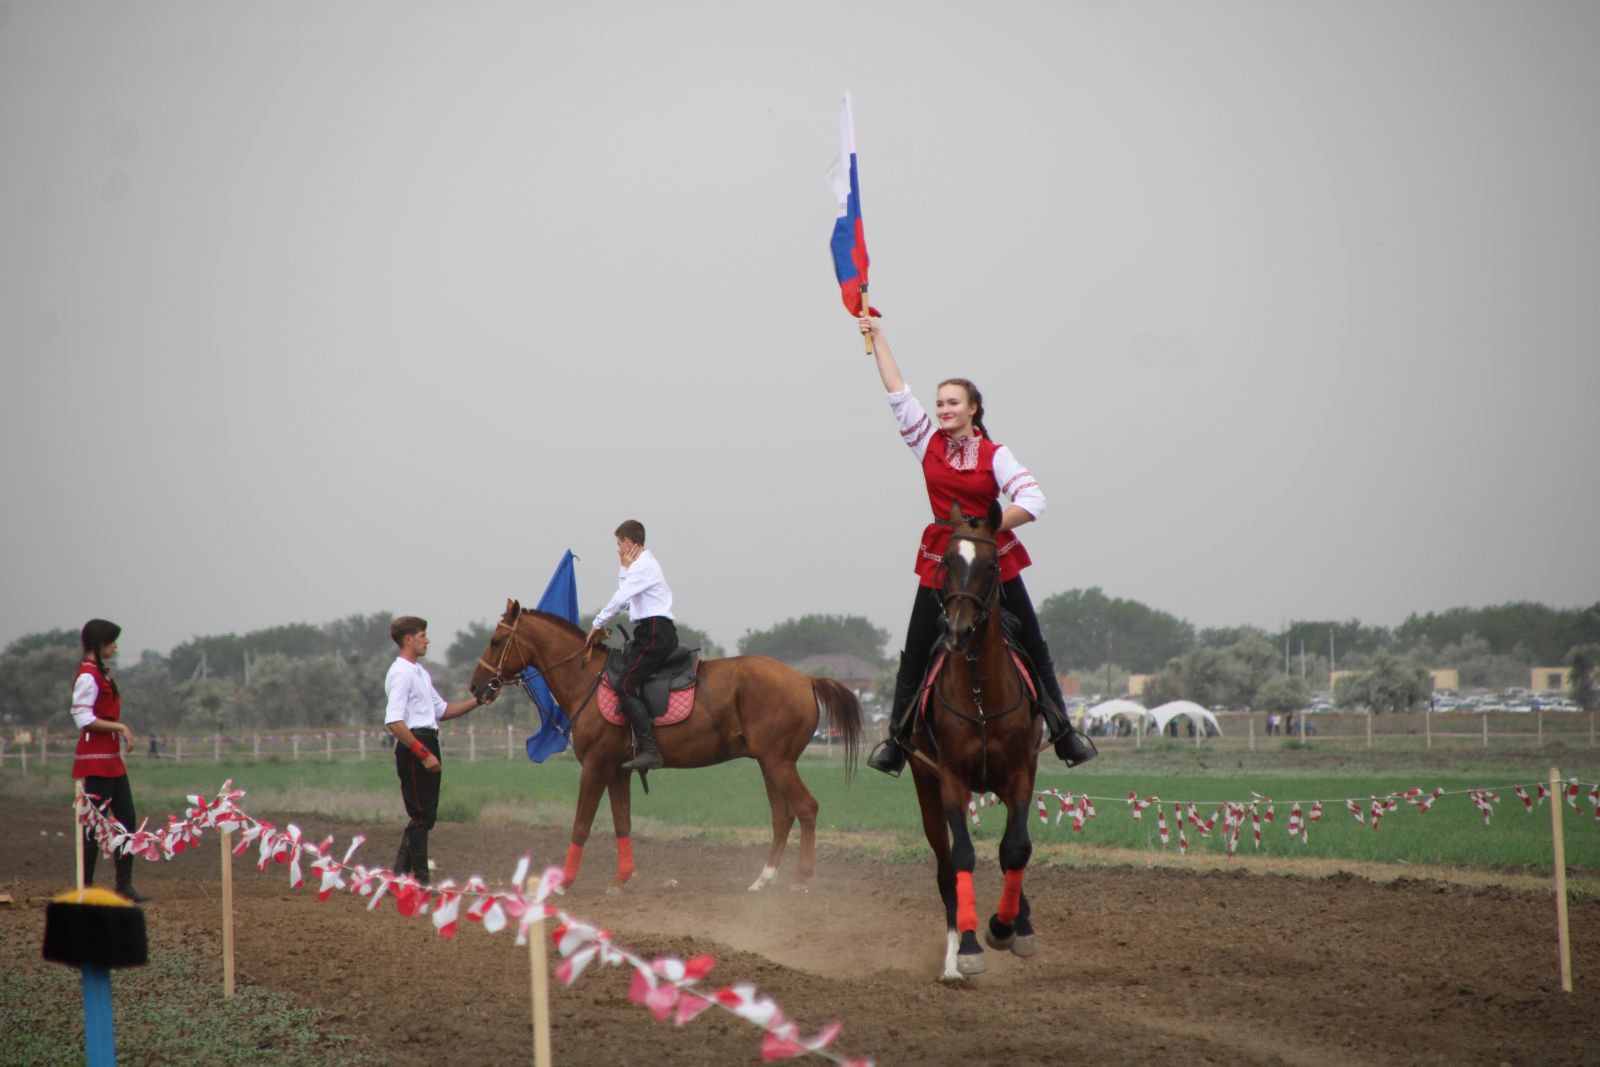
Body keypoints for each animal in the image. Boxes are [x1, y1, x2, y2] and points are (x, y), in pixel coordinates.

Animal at [467, 601, 864, 895]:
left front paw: (563, 882)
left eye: (497, 641)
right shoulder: (617, 771)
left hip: (778, 763)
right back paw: (764, 880)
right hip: (770, 764)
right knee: (783, 817)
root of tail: (805, 678)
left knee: (806, 808)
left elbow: (581, 824)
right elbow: (622, 822)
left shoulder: (595, 767)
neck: (587, 681)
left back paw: (800, 879)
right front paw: (621, 879)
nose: (476, 686)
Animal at [915, 505, 1049, 979]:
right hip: (926, 788)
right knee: (944, 868)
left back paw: (1018, 920)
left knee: (1013, 849)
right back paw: (952, 957)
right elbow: (962, 857)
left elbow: (1017, 848)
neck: (978, 689)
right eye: (947, 561)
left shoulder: (1021, 773)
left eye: (992, 566)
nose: (958, 630)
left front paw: (1009, 926)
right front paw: (969, 949)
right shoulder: (951, 779)